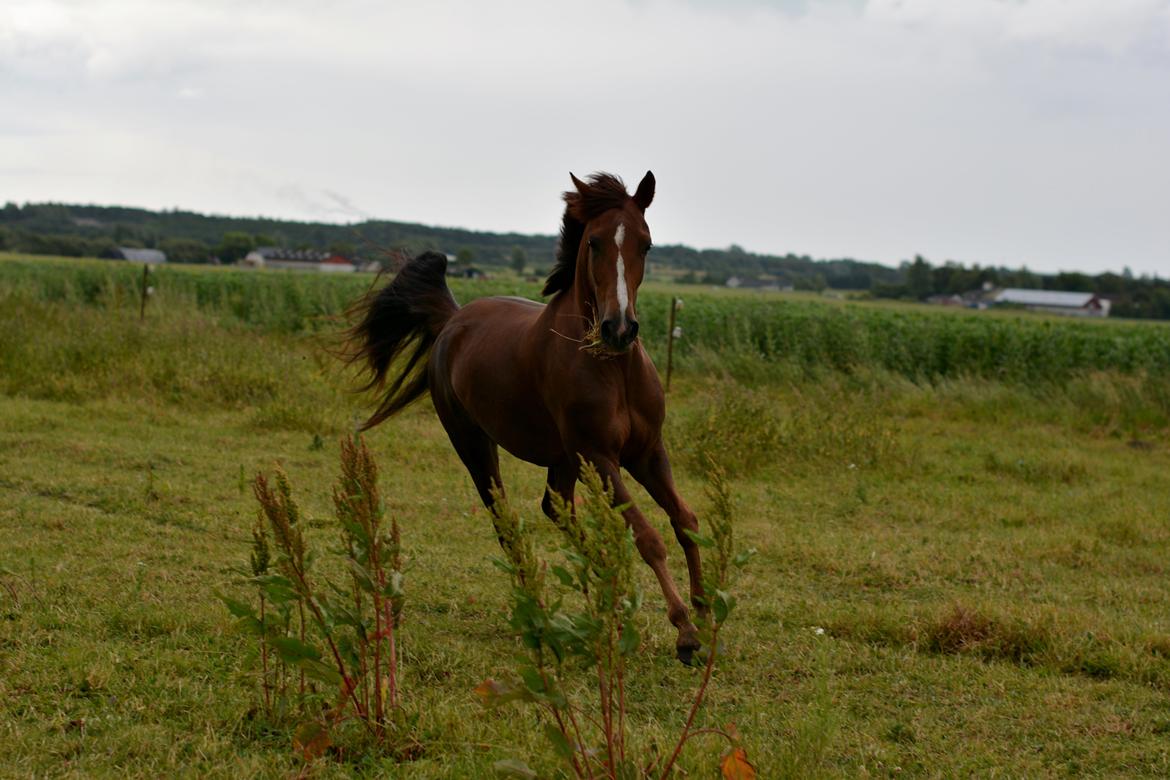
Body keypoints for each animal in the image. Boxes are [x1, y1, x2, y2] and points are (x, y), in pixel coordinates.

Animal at [346, 174, 702, 664]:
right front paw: (685, 632)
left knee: (554, 508)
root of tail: (453, 319)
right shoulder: (601, 456)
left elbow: (685, 519)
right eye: (593, 242)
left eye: (646, 244)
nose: (619, 329)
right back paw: (541, 614)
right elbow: (647, 535)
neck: (613, 367)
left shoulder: (647, 452)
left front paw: (707, 610)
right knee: (505, 523)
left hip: (565, 460)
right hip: (476, 446)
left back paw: (606, 597)